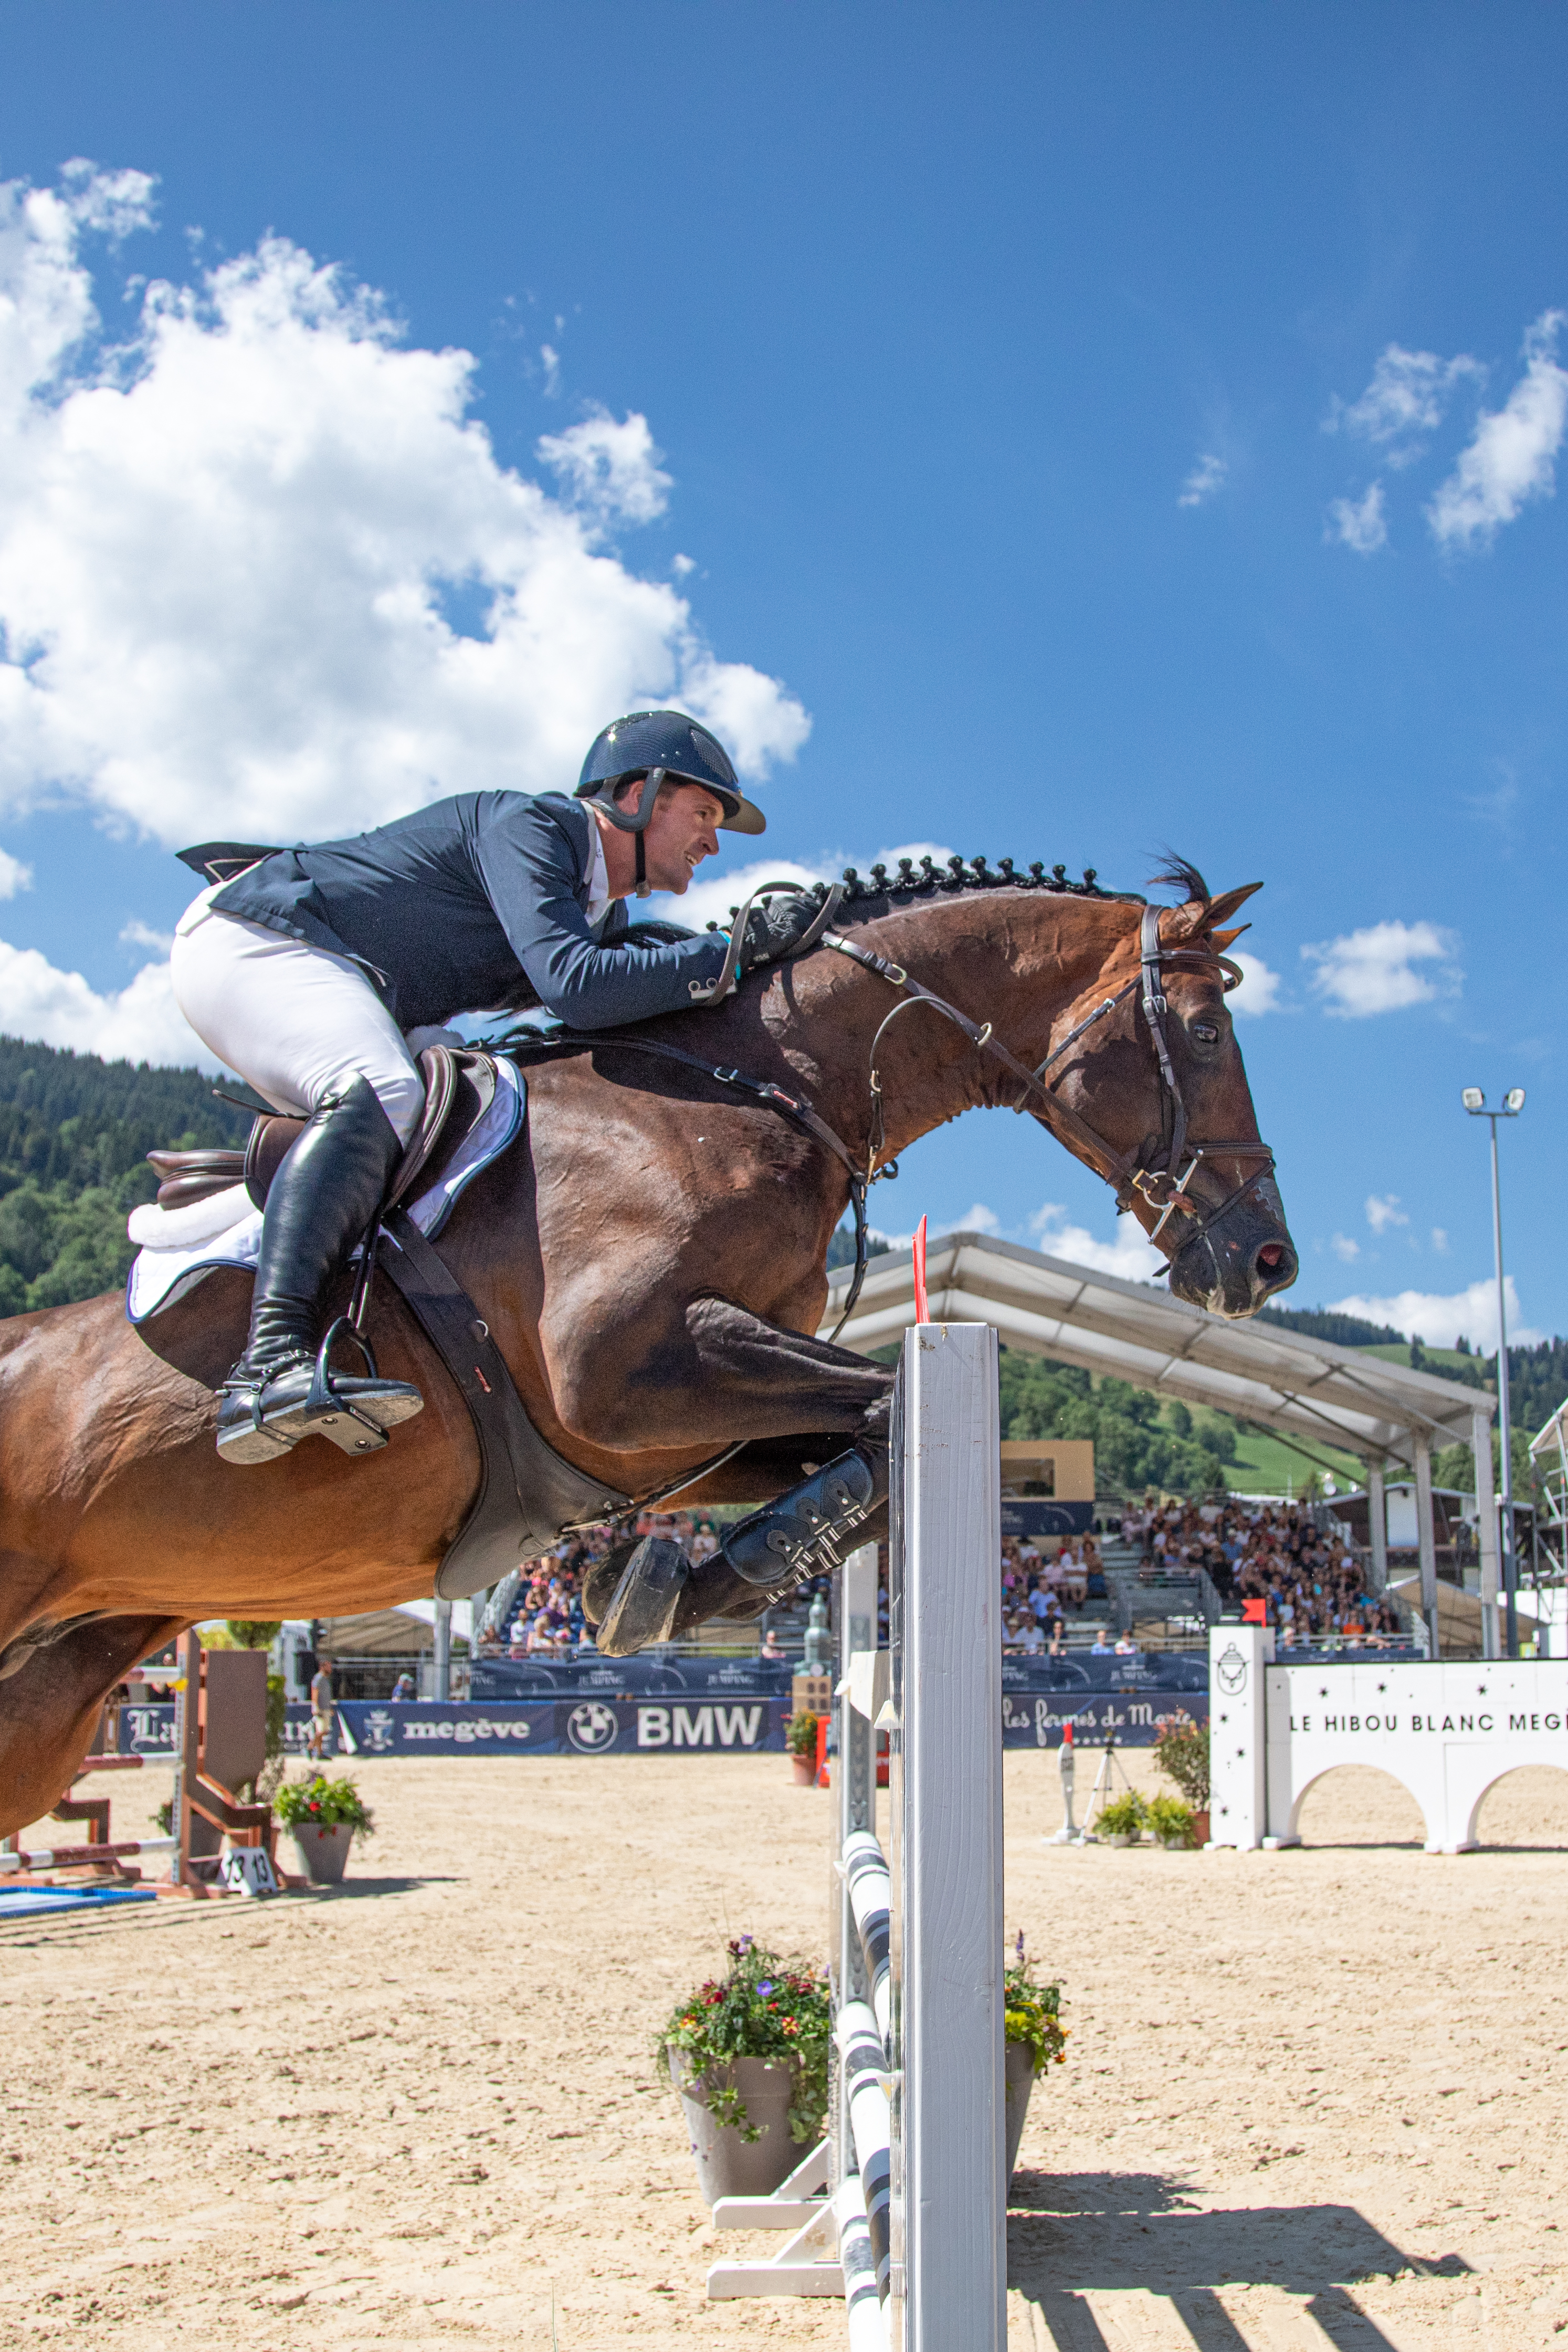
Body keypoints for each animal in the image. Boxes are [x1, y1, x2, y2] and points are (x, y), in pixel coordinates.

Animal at [3, 856, 1298, 1825]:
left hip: (61, 1679)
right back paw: (279, 1392)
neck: (749, 1092)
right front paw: (653, 1591)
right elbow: (883, 1405)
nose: (1267, 1262)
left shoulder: (666, 1437)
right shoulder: (621, 1379)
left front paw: (664, 1588)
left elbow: (864, 1454)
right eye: (1201, 1032)